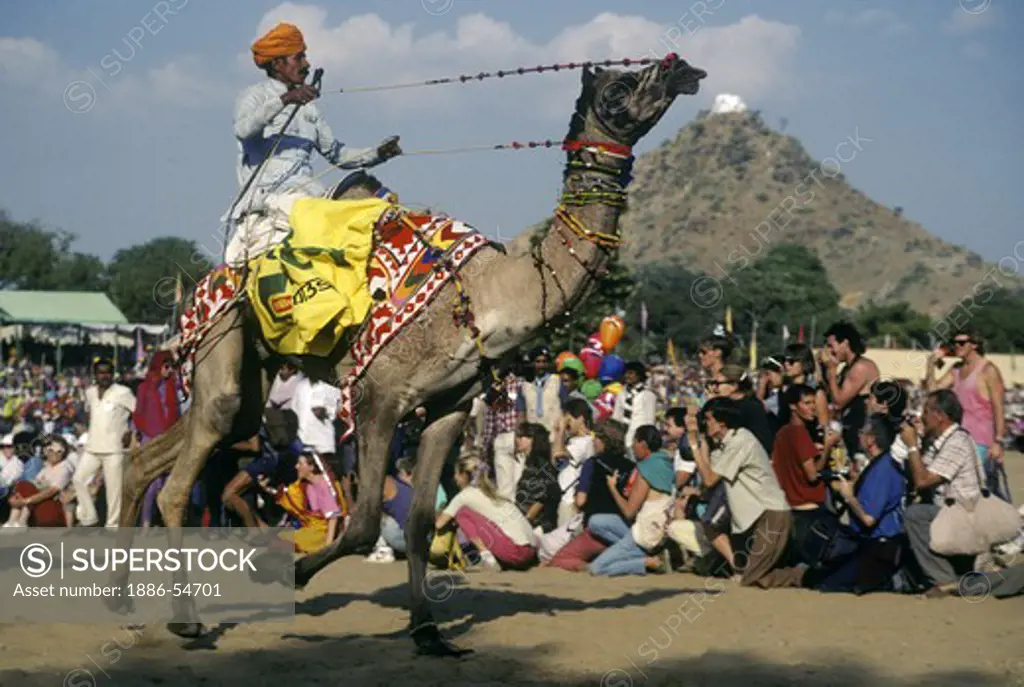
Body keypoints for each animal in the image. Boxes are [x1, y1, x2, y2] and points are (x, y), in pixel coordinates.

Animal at [112, 53, 704, 655]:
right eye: (618, 88)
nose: (681, 67)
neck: (488, 294)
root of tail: (208, 279)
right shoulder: (379, 396)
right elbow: (366, 521)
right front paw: (297, 573)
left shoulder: (451, 405)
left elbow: (420, 520)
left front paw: (428, 632)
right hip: (223, 337)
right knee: (181, 480)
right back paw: (185, 623)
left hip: (252, 377)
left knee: (152, 457)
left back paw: (126, 608)